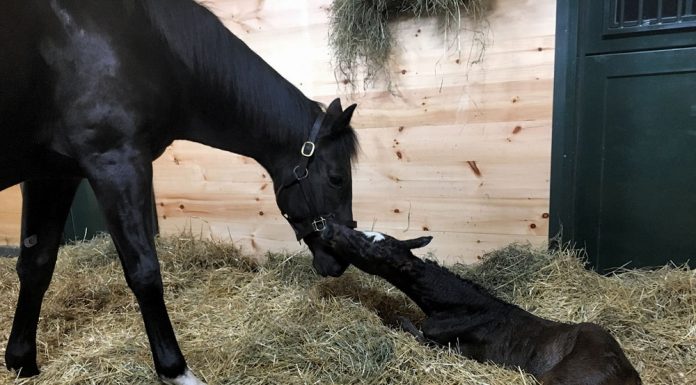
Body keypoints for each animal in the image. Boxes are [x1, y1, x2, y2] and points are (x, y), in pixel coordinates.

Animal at [322, 224, 640, 384]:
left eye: (373, 248)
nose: (330, 230)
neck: (455, 307)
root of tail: (629, 375)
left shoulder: (446, 345)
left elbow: (407, 326)